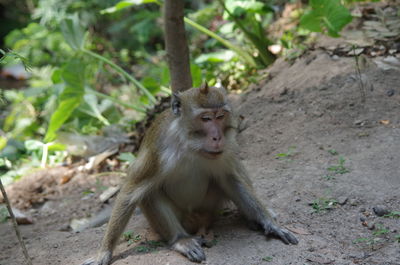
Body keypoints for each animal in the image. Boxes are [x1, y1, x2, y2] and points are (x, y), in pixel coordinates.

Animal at [83, 83, 298, 264]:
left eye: (220, 116)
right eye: (206, 119)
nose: (217, 137)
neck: (190, 145)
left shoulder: (222, 152)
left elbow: (230, 179)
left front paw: (269, 223)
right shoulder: (156, 153)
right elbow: (130, 192)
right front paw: (104, 253)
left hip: (211, 205)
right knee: (149, 192)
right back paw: (181, 240)